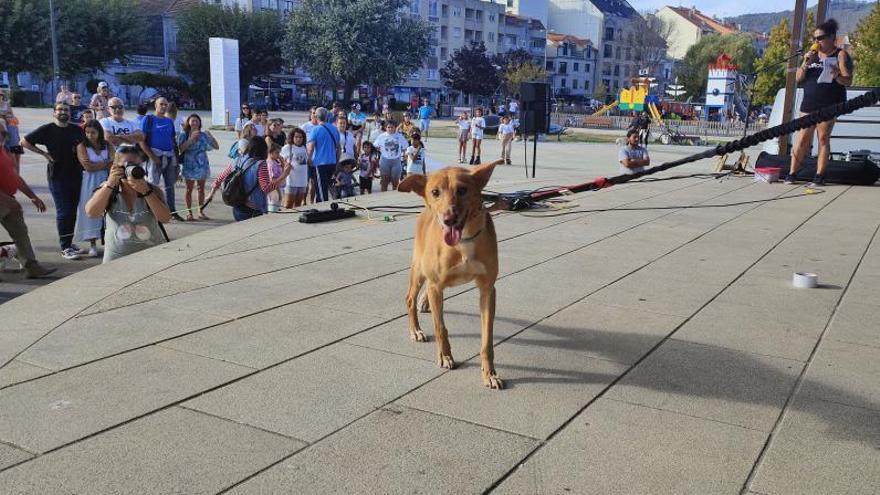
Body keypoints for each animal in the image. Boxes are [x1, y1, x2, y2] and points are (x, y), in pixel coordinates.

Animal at [398, 161, 502, 390]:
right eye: (435, 192)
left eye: (462, 190)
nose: (449, 219)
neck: (463, 241)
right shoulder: (437, 286)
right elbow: (440, 328)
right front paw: (445, 356)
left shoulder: (487, 289)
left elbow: (487, 339)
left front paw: (489, 373)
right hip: (418, 269)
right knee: (410, 297)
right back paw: (415, 329)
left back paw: (424, 303)